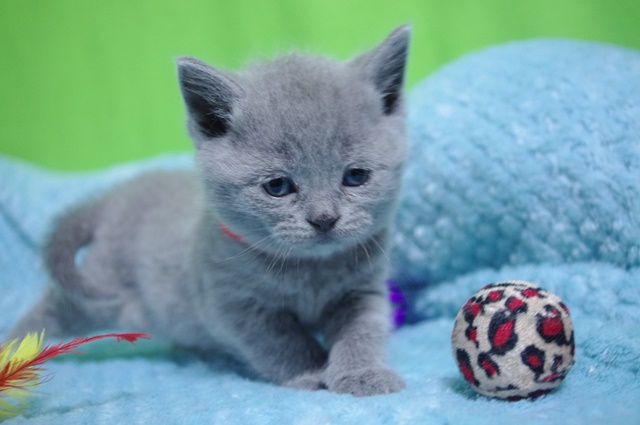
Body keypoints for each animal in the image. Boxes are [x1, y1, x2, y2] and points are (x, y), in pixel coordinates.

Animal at [12, 25, 411, 397]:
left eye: (356, 177)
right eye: (277, 186)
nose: (324, 218)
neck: (310, 271)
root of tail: (118, 194)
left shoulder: (363, 291)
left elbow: (363, 331)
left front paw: (362, 374)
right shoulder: (233, 303)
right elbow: (282, 341)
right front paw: (311, 371)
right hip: (99, 289)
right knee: (53, 308)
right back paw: (17, 347)